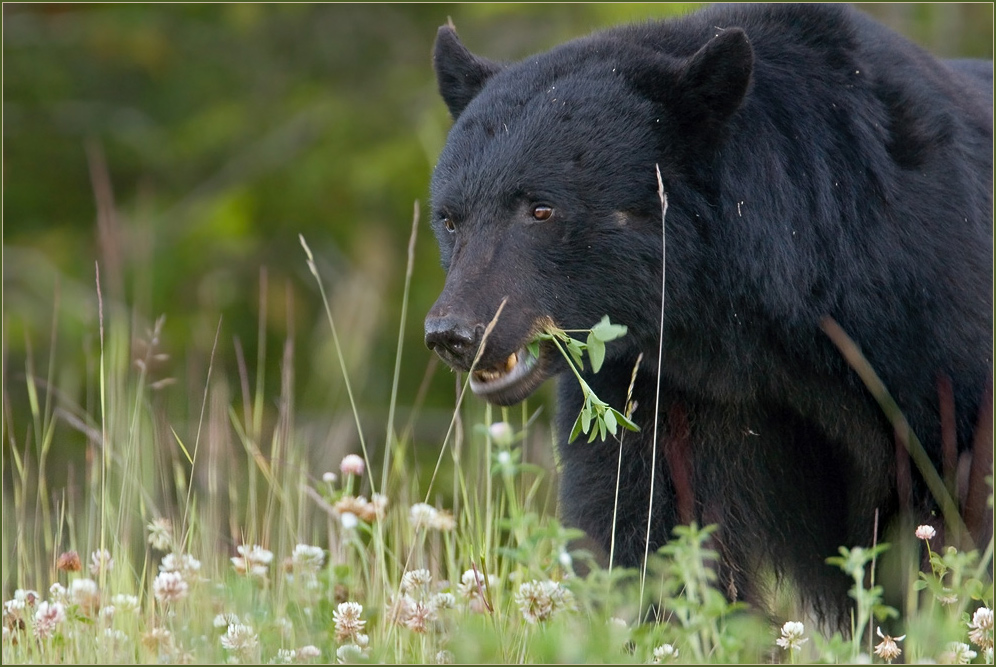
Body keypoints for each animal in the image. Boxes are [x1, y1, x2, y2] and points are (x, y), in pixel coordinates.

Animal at [424, 2, 992, 624]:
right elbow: (642, 517)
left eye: (541, 209)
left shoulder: (928, 328)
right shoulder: (660, 385)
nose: (454, 332)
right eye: (450, 218)